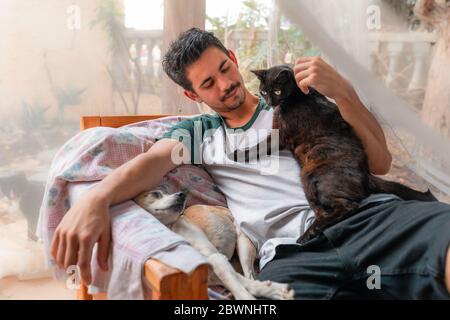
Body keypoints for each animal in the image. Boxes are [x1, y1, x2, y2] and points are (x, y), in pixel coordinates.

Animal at [134, 189, 296, 298]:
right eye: (156, 194)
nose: (182, 194)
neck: (172, 228)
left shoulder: (215, 258)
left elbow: (242, 287)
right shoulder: (214, 270)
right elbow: (245, 285)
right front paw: (276, 290)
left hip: (244, 247)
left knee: (250, 274)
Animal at [253, 65, 436, 245]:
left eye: (277, 91)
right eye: (263, 92)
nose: (269, 102)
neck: (296, 96)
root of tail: (367, 175)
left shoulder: (279, 136)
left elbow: (256, 148)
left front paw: (244, 153)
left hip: (313, 177)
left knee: (348, 207)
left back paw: (307, 234)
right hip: (309, 185)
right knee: (325, 210)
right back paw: (313, 231)